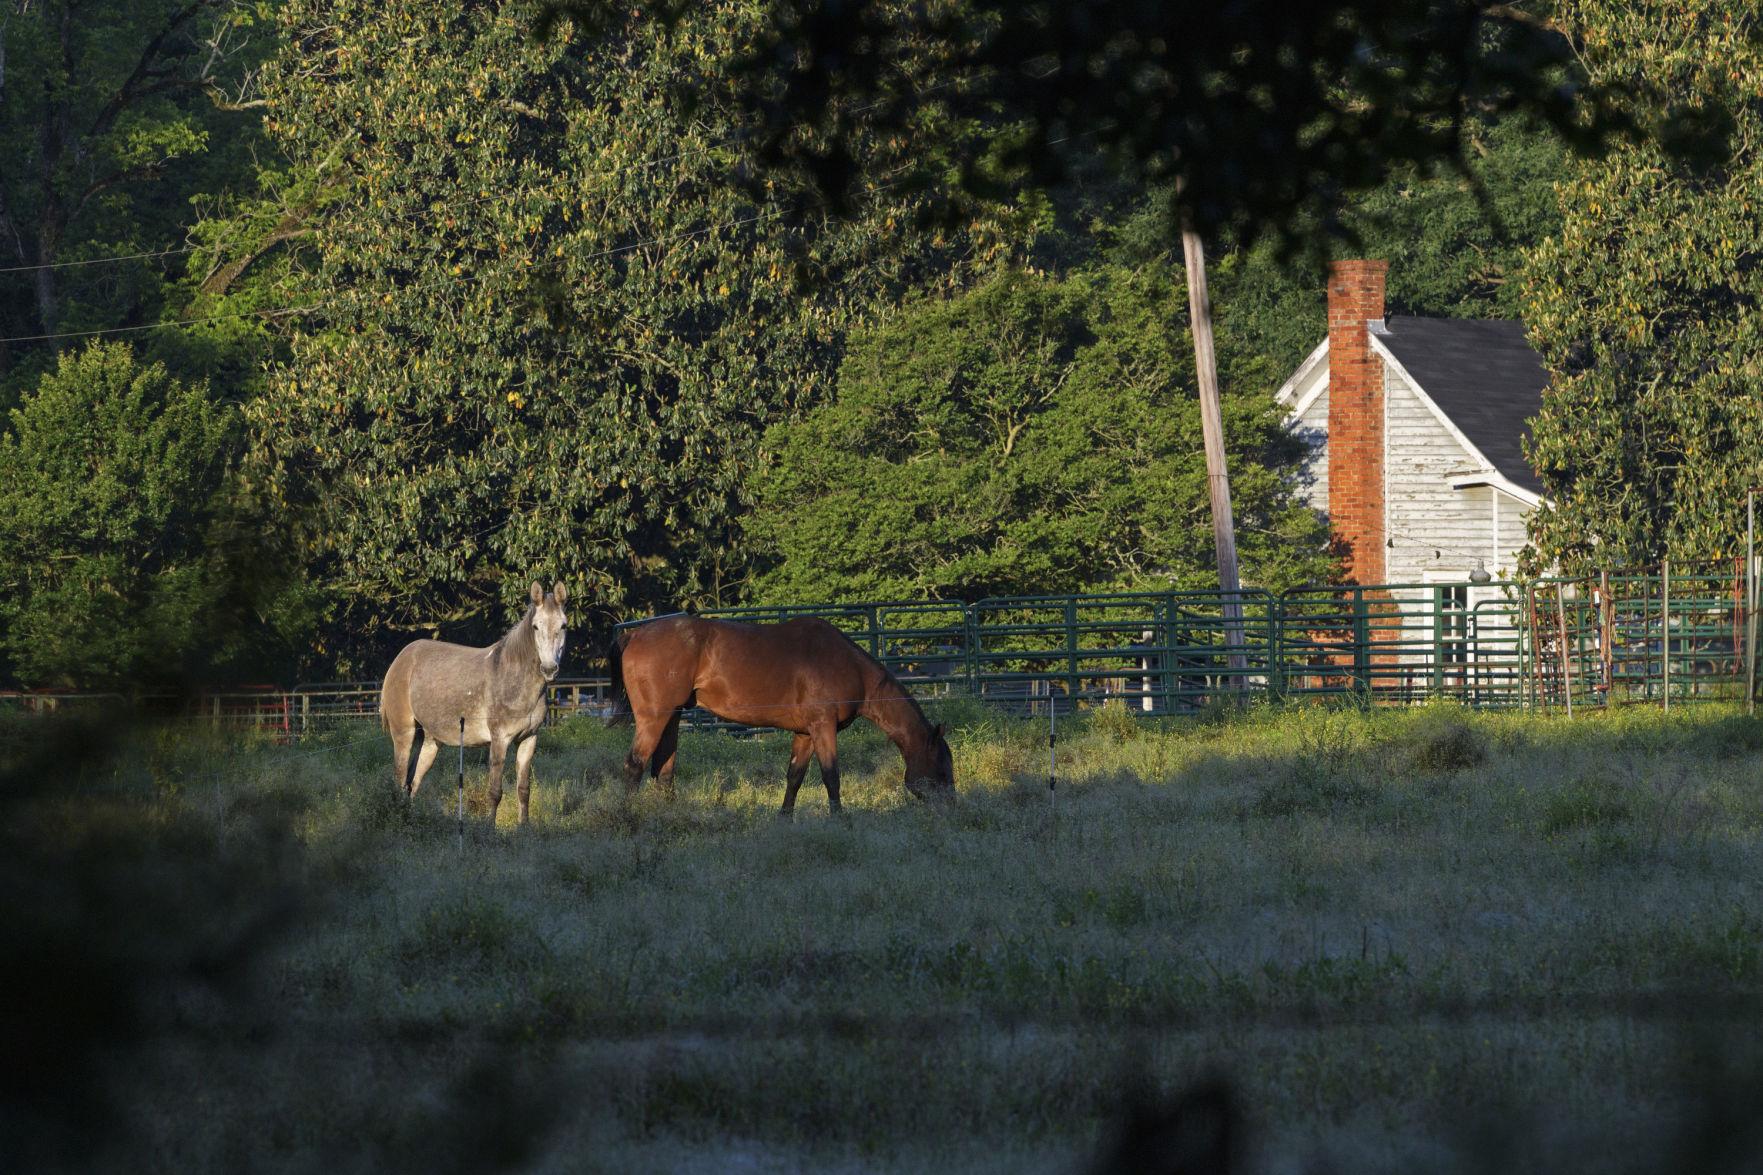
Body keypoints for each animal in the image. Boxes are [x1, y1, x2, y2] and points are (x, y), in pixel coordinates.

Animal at [379, 581, 568, 825]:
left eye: (563, 625)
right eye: (536, 627)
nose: (549, 669)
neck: (514, 679)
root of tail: (399, 660)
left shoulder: (529, 739)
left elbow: (524, 790)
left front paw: (524, 827)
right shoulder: (499, 740)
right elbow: (495, 791)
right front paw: (489, 828)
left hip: (429, 741)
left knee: (412, 784)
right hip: (404, 733)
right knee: (400, 779)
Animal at [608, 614, 955, 815]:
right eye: (942, 767)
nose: (952, 809)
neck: (848, 665)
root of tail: (634, 635)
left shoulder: (805, 733)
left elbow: (795, 777)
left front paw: (784, 819)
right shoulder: (823, 727)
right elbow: (831, 777)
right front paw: (840, 820)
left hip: (673, 717)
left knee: (663, 770)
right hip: (654, 718)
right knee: (634, 766)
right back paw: (627, 816)